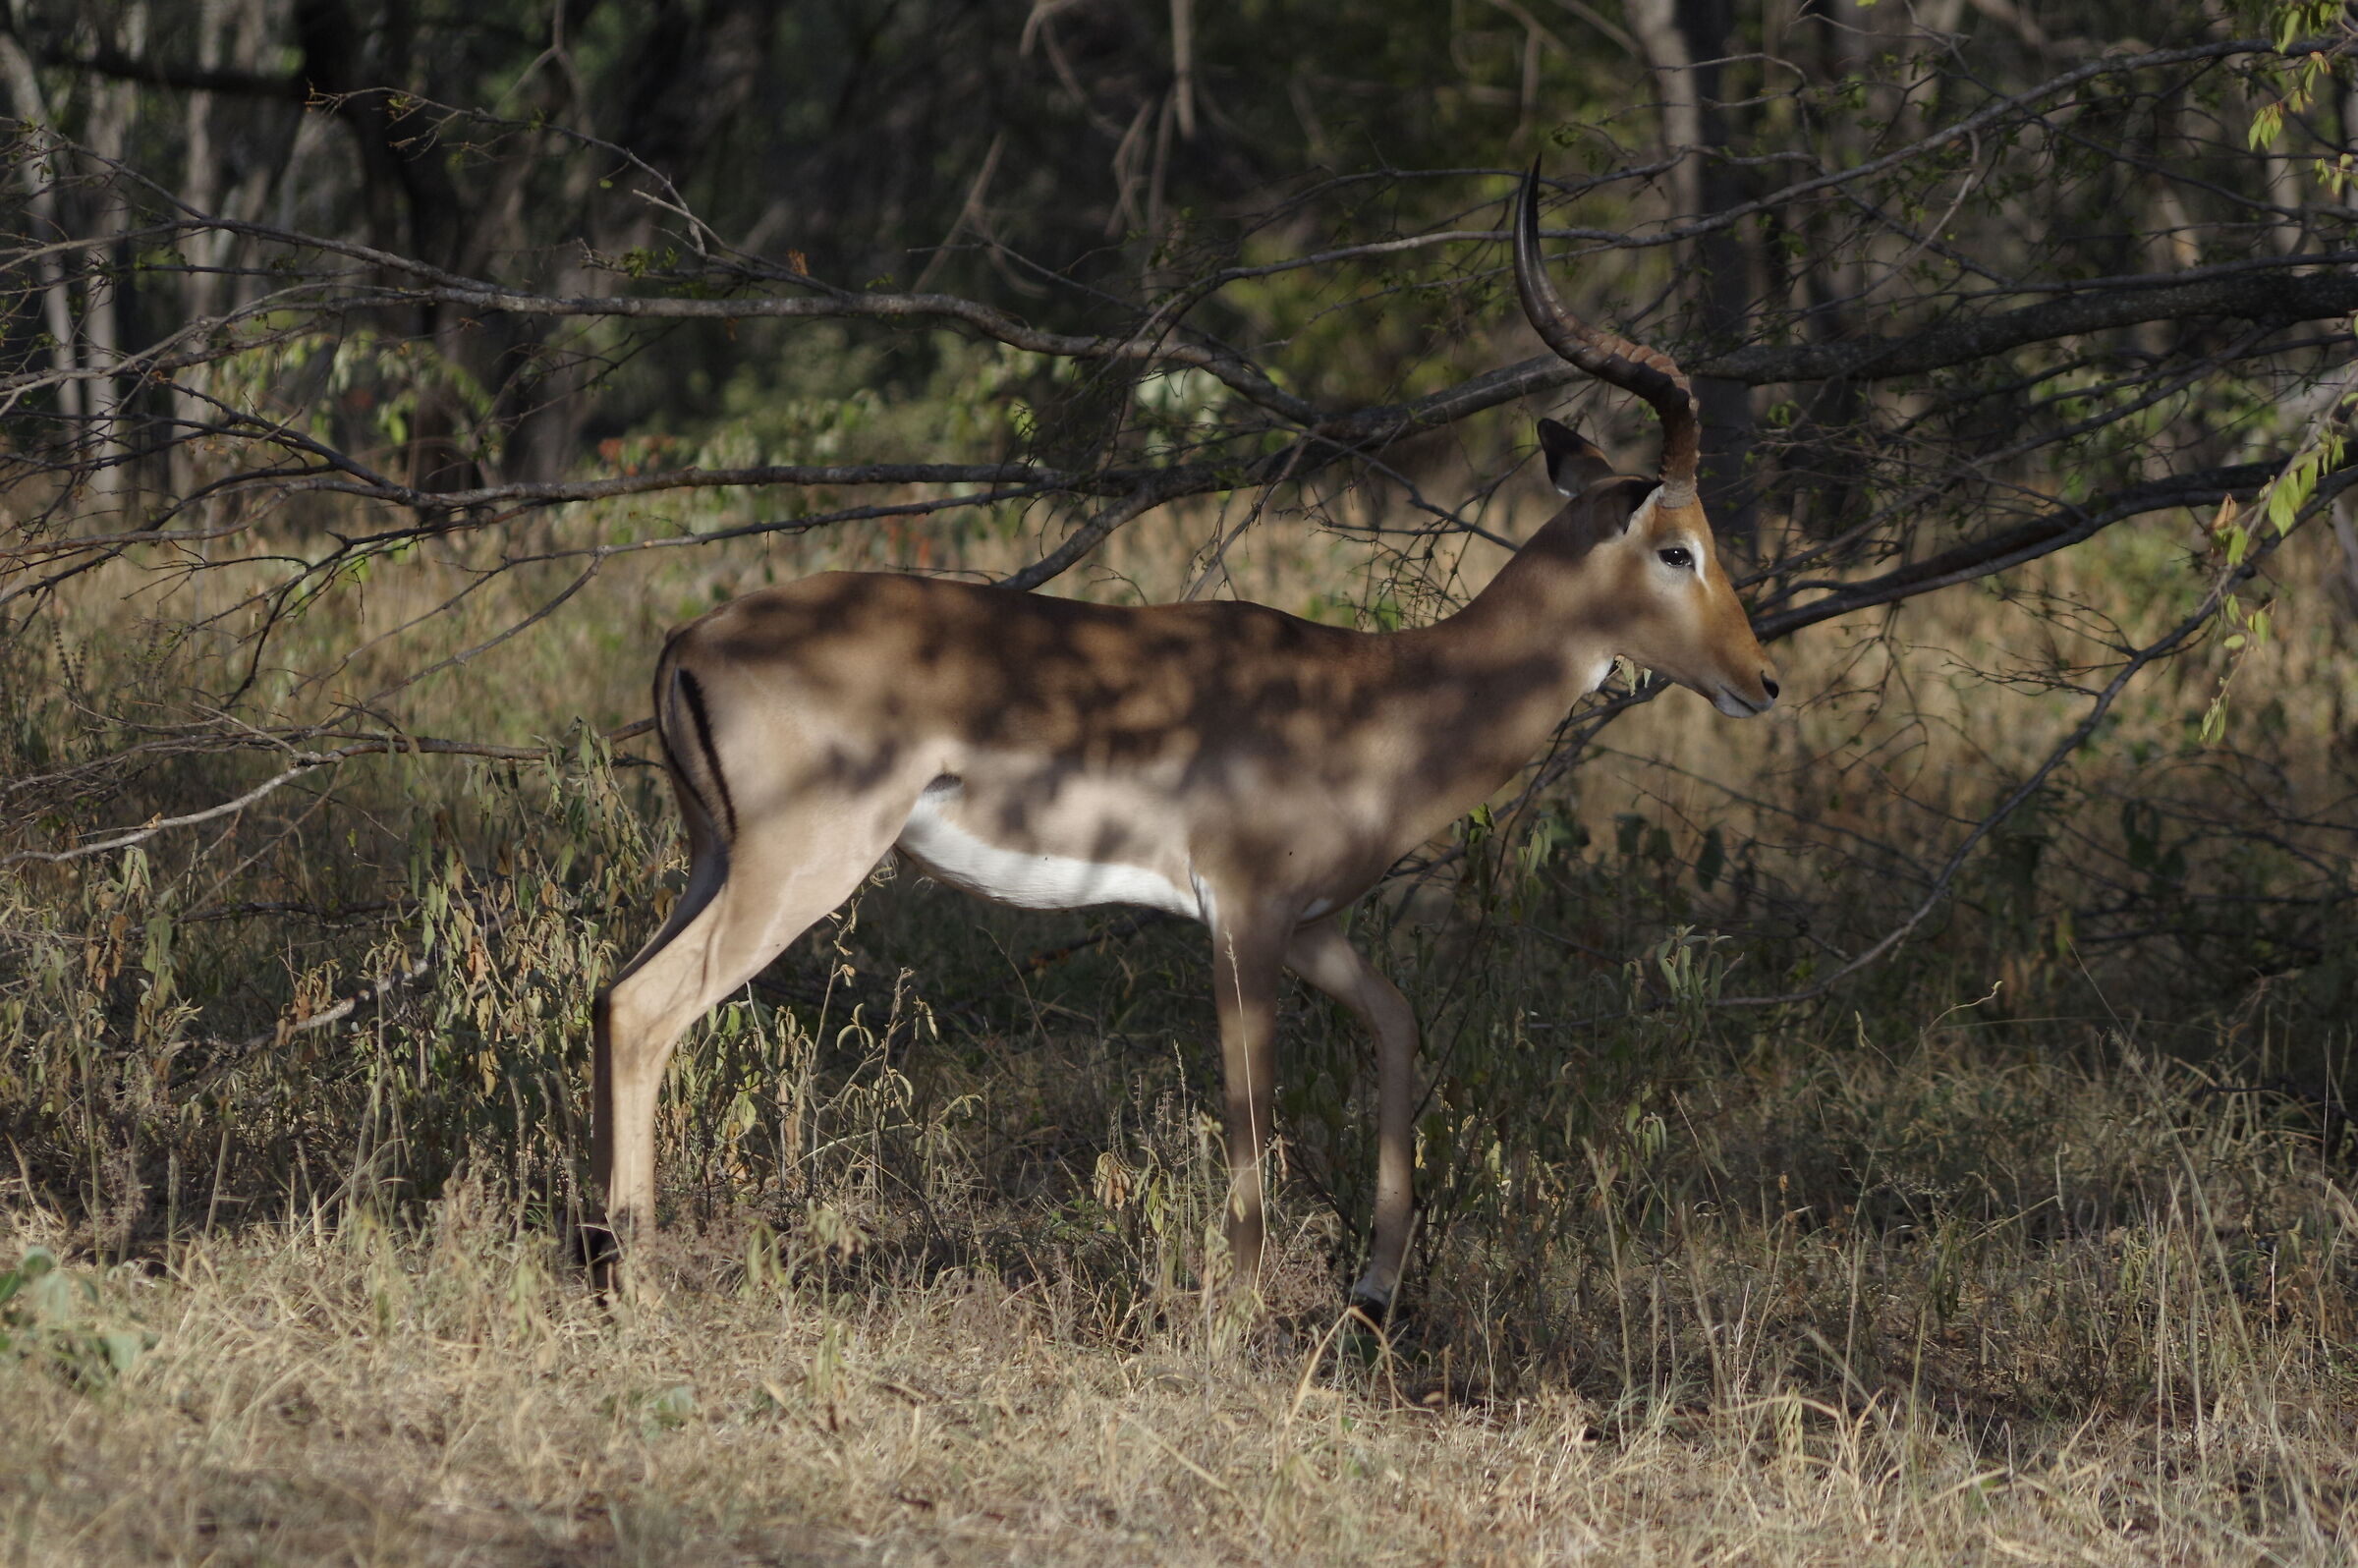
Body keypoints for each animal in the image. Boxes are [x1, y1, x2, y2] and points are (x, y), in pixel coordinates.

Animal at [587, 169, 1778, 1314]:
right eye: (1677, 549)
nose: (1762, 682)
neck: (1384, 699)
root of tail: (689, 638)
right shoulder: (1242, 918)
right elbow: (1250, 1106)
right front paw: (1234, 1314)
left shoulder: (1311, 925)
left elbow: (1396, 1025)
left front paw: (1374, 1287)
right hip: (799, 868)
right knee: (646, 1009)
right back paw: (636, 1283)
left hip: (716, 861)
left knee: (610, 994)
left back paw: (596, 1252)